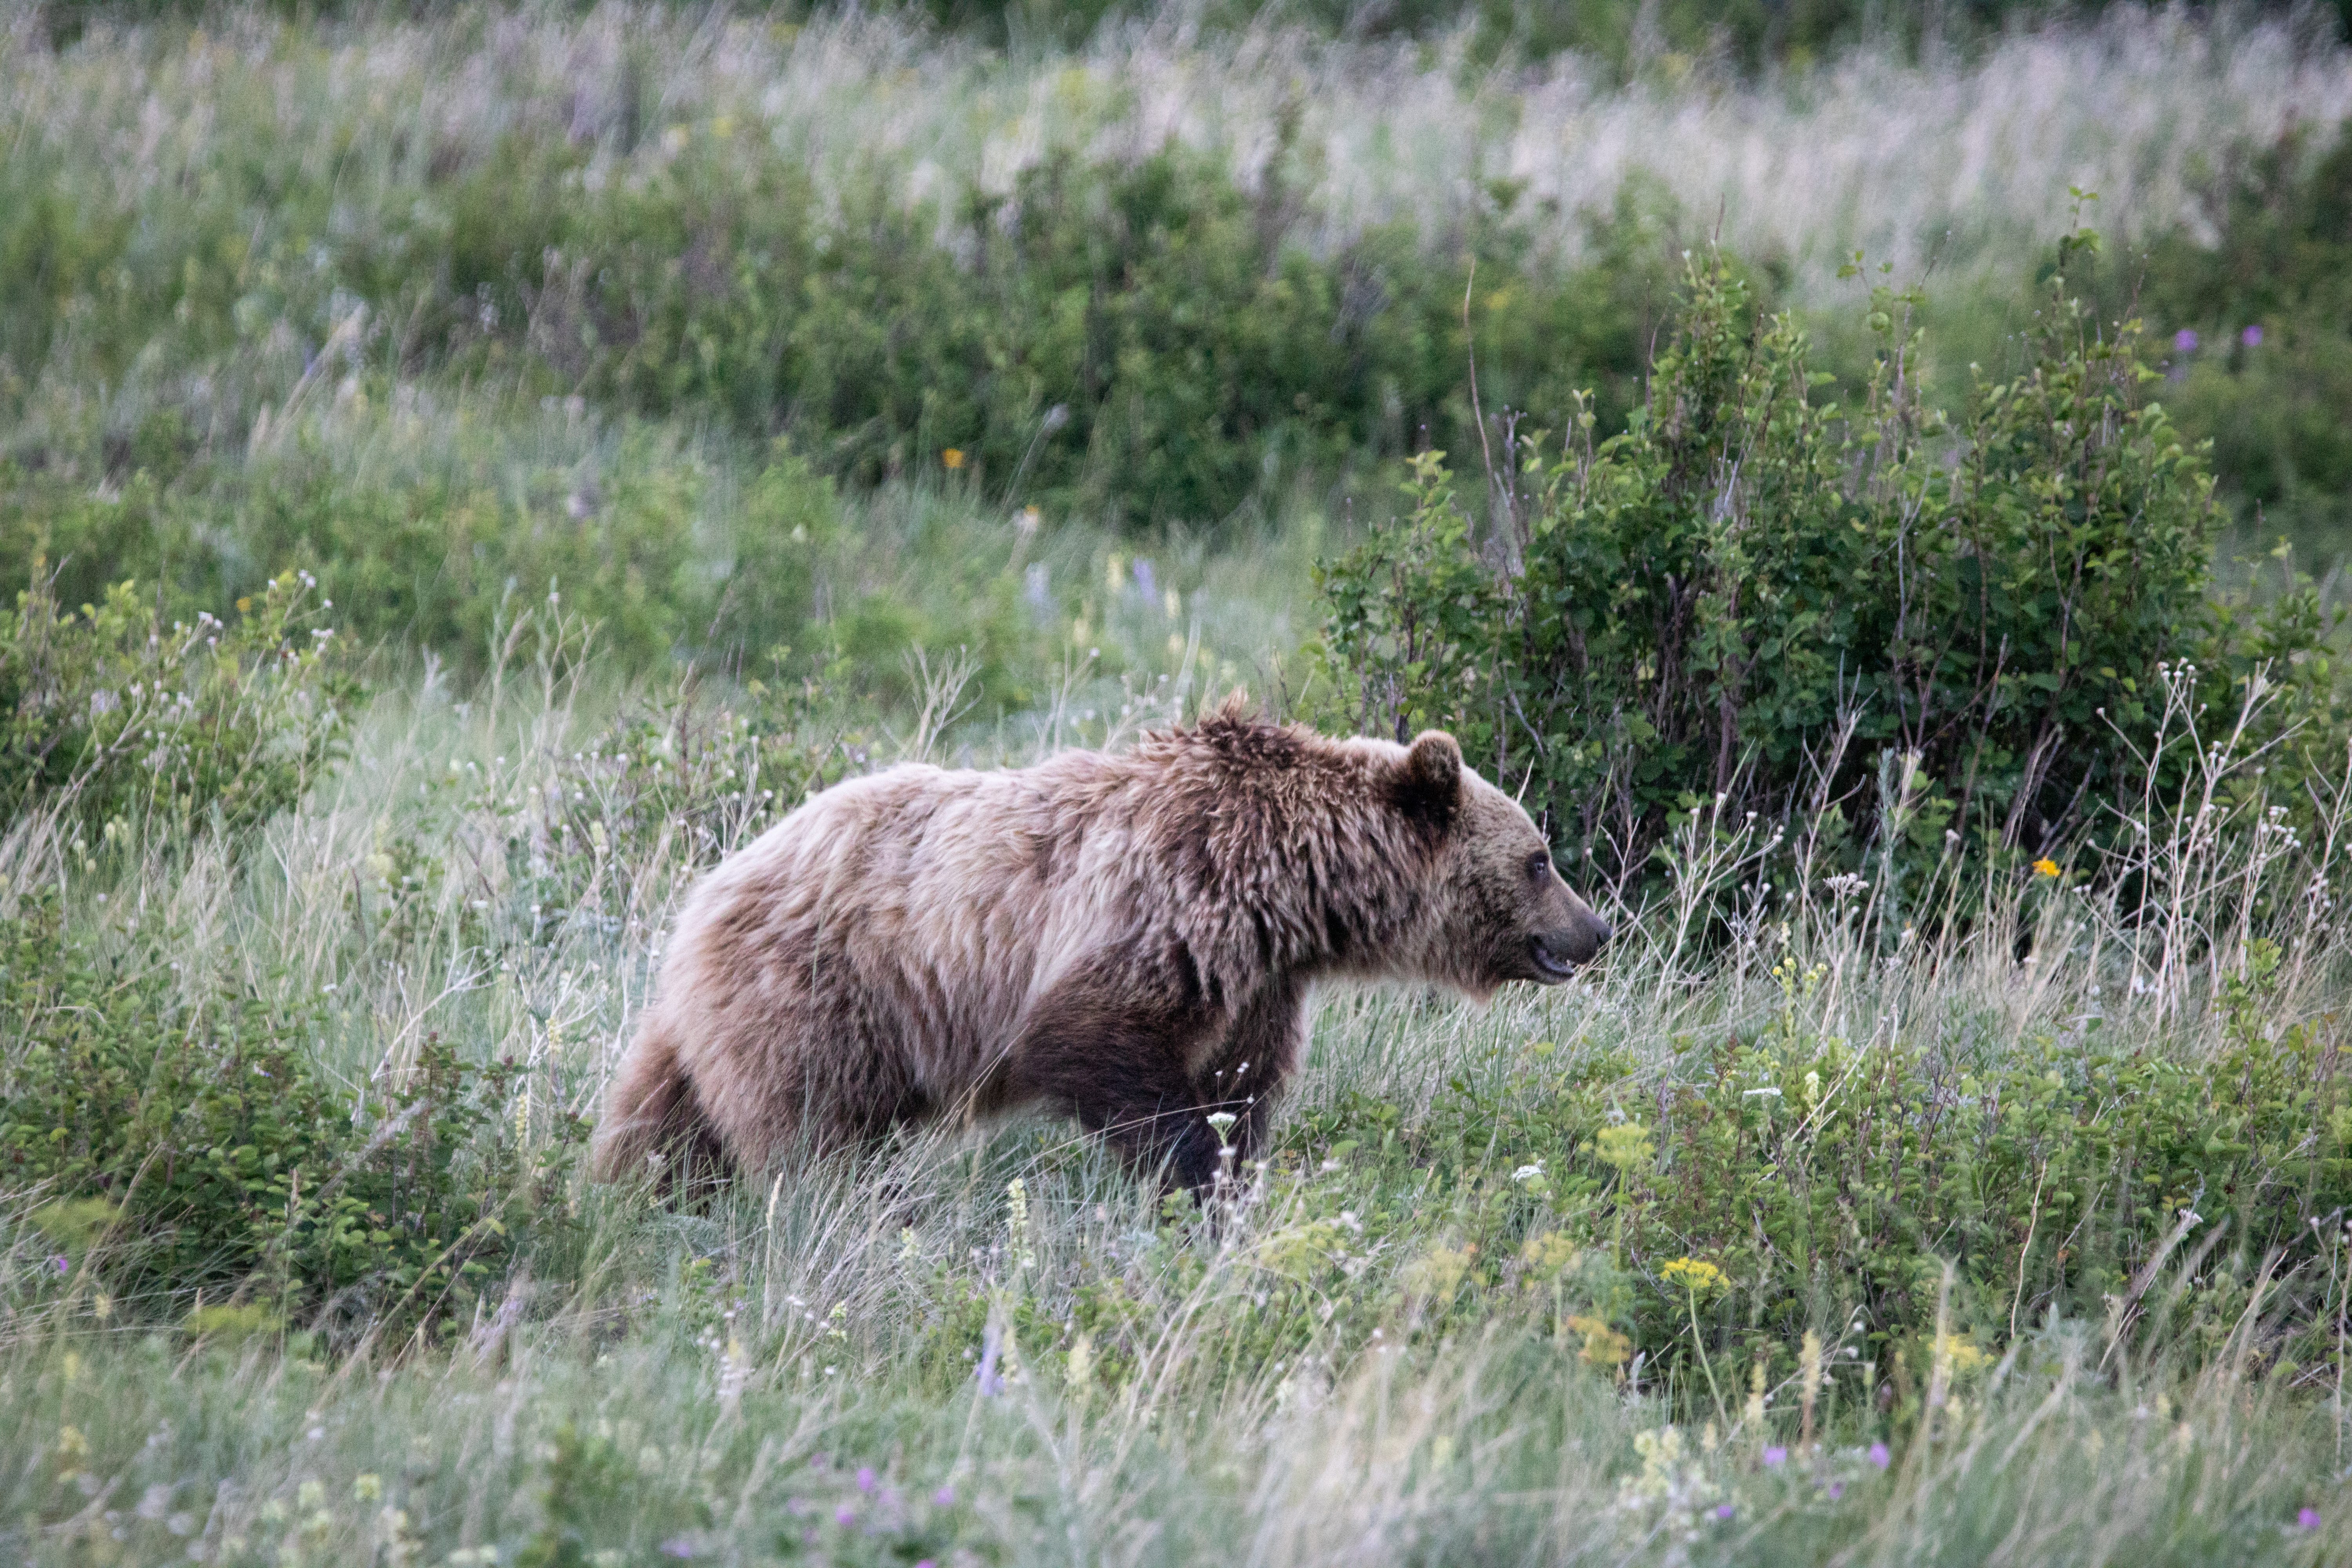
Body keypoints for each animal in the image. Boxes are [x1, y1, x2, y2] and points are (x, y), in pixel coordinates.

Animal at [591, 704, 1611, 1193]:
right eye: (1540, 857)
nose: (1596, 928)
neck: (1290, 886)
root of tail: (708, 889)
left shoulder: (1258, 977)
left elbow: (1243, 1086)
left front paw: (1236, 1175)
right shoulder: (1169, 912)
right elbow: (1094, 1043)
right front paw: (1197, 1182)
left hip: (727, 1020)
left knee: (665, 1120)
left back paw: (631, 1192)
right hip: (822, 994)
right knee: (806, 1128)